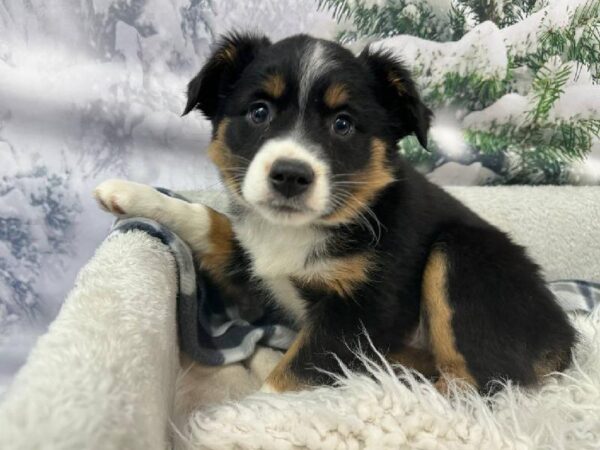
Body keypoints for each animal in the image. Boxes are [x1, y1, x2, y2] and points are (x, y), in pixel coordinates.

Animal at [95, 33, 576, 396]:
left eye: (343, 123)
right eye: (258, 111)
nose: (290, 175)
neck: (302, 230)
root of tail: (566, 338)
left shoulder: (360, 314)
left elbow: (288, 377)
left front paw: (238, 419)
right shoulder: (255, 267)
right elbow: (209, 220)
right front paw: (128, 192)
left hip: (459, 256)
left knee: (479, 386)